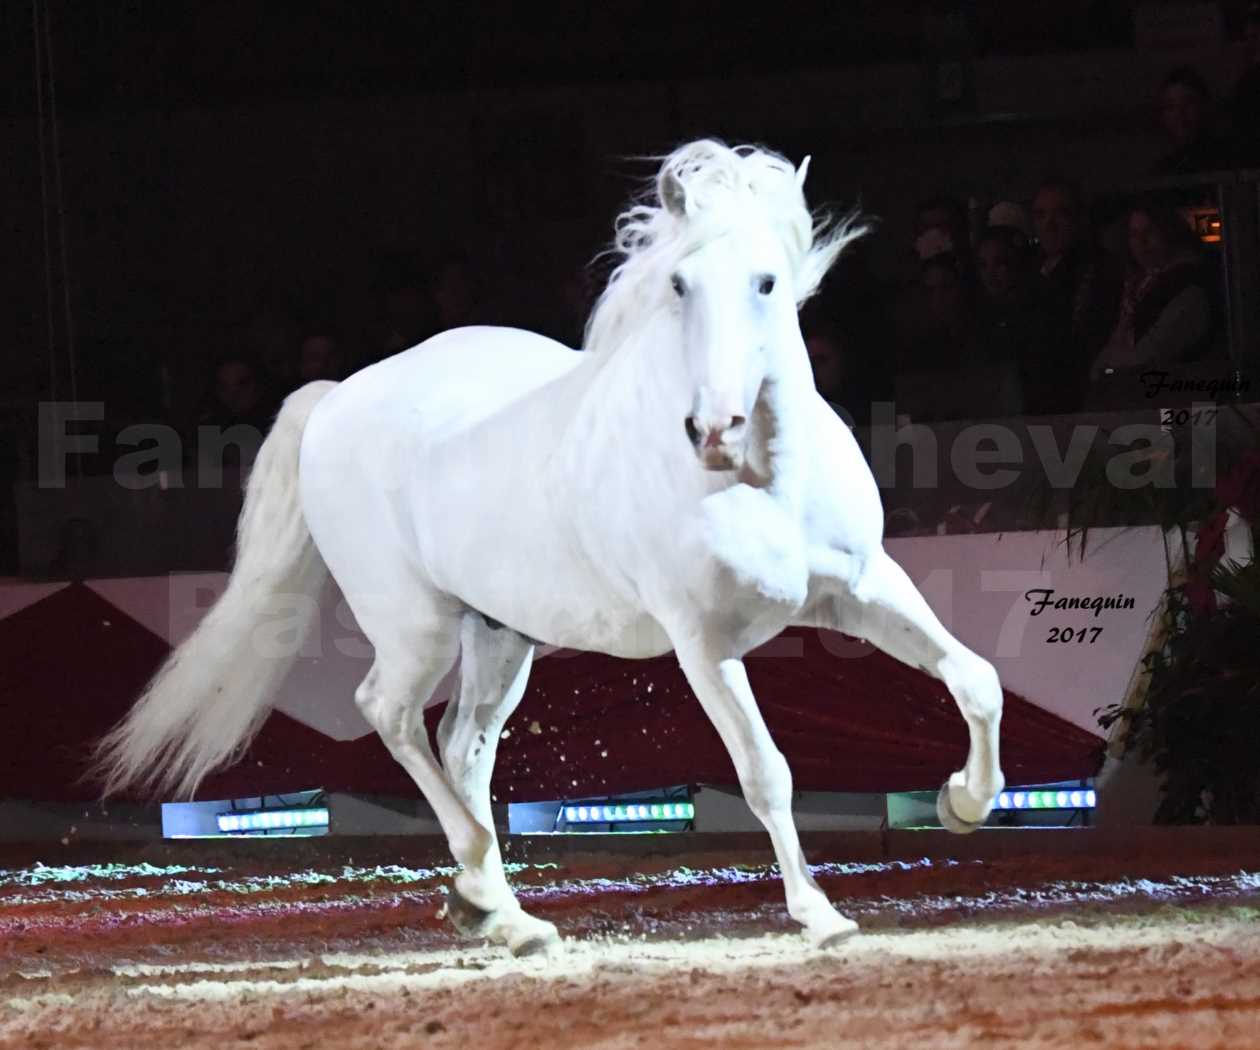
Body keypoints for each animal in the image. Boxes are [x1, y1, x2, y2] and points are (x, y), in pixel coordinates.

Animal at [98, 141, 1002, 957]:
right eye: (679, 285)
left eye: (768, 281)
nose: (713, 428)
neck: (763, 482)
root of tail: (335, 397)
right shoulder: (704, 644)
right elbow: (765, 771)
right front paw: (820, 915)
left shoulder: (863, 590)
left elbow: (976, 681)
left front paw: (961, 803)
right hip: (416, 627)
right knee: (390, 715)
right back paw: (485, 893)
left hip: (501, 634)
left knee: (464, 746)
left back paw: (502, 914)